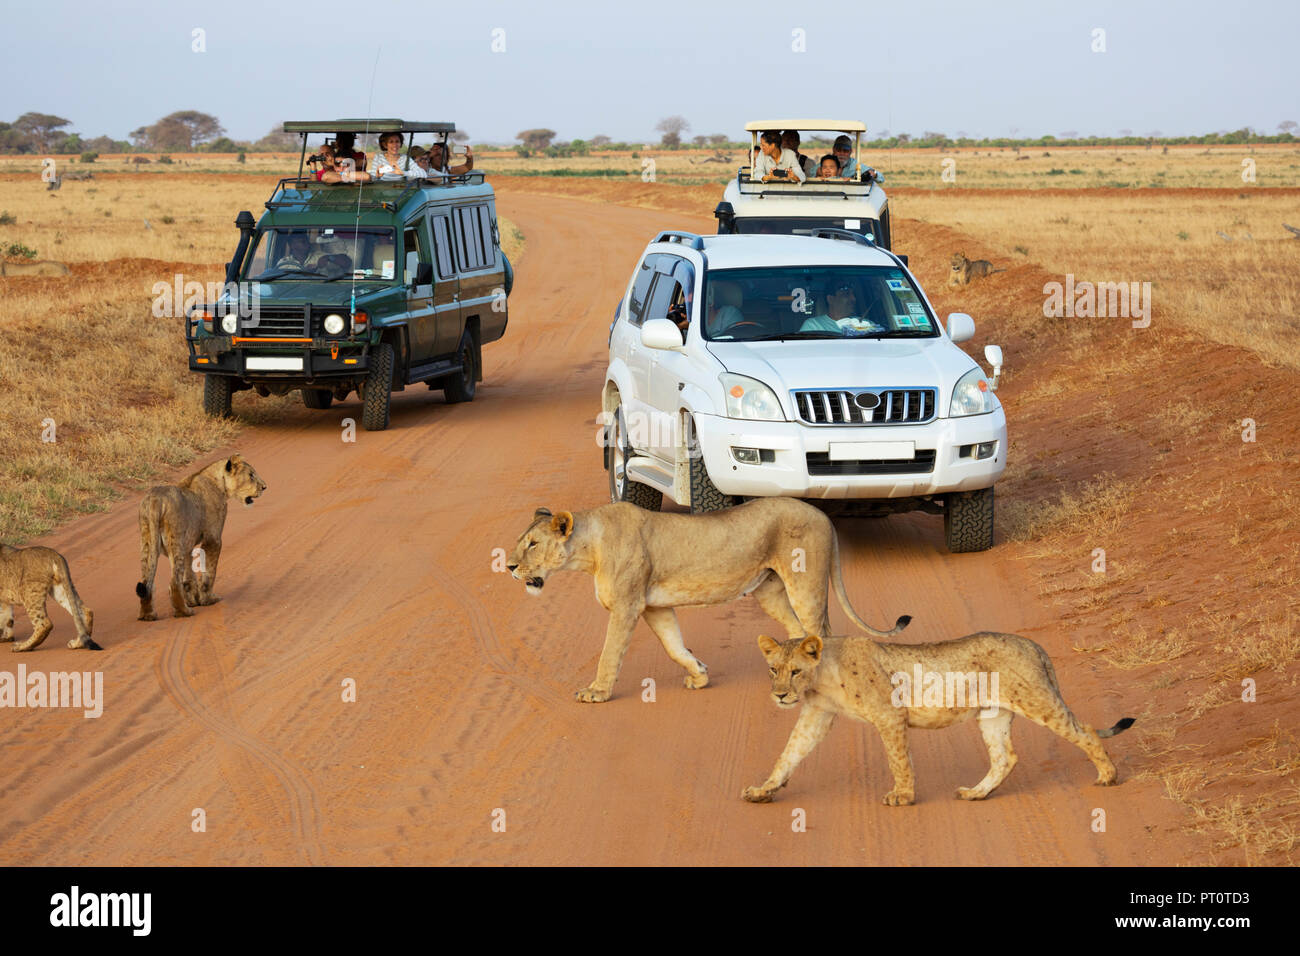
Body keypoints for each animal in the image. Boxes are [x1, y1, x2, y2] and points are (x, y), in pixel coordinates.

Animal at [501, 502, 909, 702]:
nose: (508, 566)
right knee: (799, 631)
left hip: (805, 582)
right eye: (522, 541)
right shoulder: (655, 607)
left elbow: (609, 654)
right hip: (769, 590)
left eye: (533, 544)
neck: (589, 549)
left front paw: (597, 692)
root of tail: (824, 514)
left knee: (821, 630)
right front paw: (699, 674)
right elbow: (674, 645)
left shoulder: (627, 607)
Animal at [748, 634, 1133, 806]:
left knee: (1085, 731)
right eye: (773, 670)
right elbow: (789, 754)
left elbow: (899, 760)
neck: (822, 675)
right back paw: (976, 793)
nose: (779, 695)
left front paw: (903, 796)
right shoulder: (817, 715)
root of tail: (1033, 645)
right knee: (1005, 757)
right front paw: (763, 789)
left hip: (1037, 701)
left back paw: (1108, 776)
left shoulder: (889, 715)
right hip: (993, 714)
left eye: (795, 671)